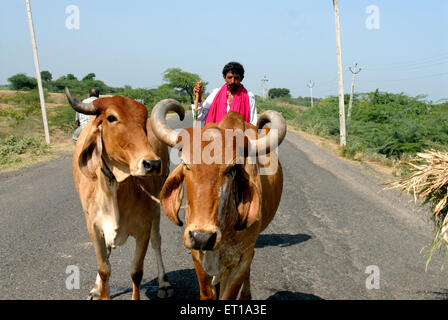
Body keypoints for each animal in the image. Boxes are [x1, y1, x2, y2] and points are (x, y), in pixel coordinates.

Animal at [65, 88, 184, 300]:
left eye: (143, 121)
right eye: (111, 118)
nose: (152, 164)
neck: (115, 188)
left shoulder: (143, 229)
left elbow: (136, 271)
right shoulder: (93, 228)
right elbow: (104, 268)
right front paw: (101, 291)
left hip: (156, 208)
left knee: (157, 241)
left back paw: (163, 283)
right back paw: (96, 288)